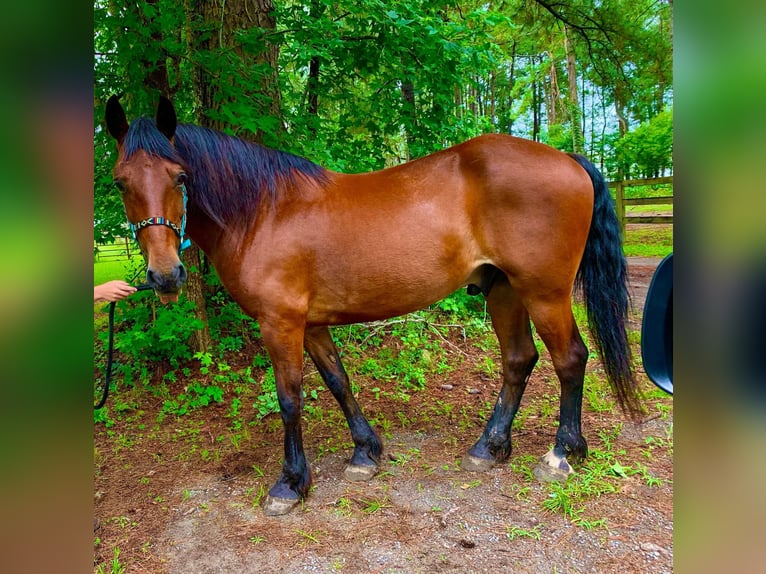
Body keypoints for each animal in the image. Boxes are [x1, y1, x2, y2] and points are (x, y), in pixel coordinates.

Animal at [103, 94, 640, 516]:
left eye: (179, 176)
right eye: (119, 181)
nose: (165, 275)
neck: (263, 212)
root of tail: (567, 159)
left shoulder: (280, 323)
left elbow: (290, 399)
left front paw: (290, 483)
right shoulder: (311, 323)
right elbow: (338, 382)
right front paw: (366, 453)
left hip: (543, 292)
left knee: (569, 359)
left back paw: (562, 454)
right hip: (504, 289)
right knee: (518, 360)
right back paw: (489, 447)